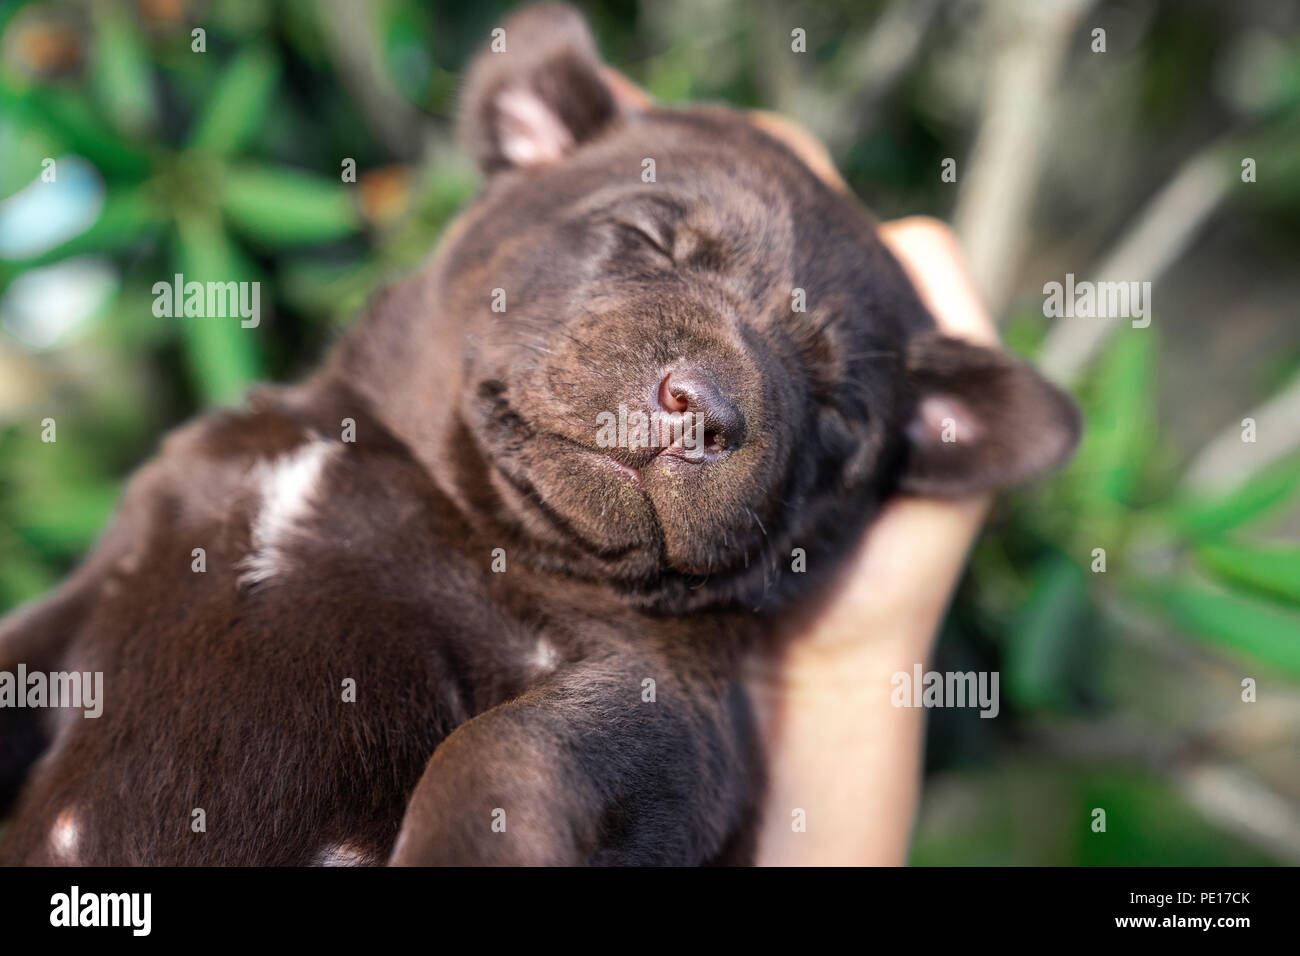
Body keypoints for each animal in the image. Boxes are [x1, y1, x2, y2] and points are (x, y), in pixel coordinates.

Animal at [0, 1, 1076, 868]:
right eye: (646, 236)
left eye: (841, 417)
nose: (709, 410)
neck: (444, 490)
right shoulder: (107, 577)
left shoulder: (668, 712)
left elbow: (499, 753)